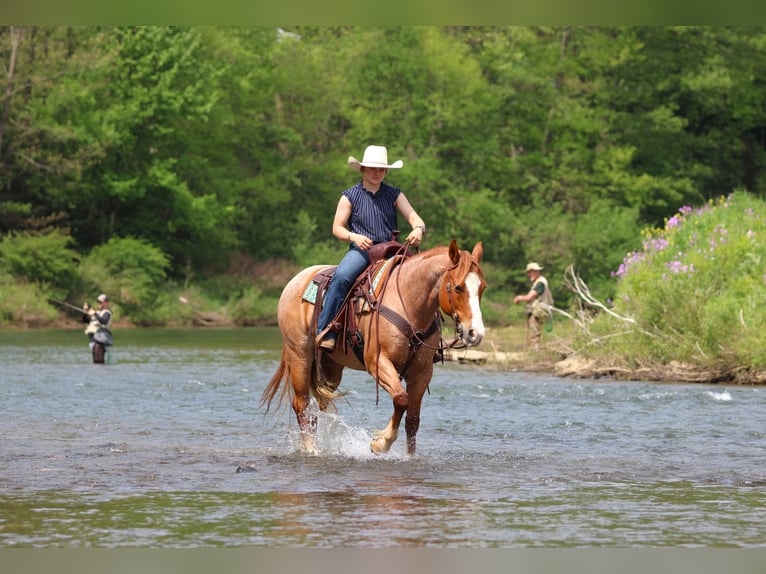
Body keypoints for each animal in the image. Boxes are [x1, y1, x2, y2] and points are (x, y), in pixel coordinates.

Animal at [260, 239, 486, 455]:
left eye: (482, 287)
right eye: (458, 287)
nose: (475, 332)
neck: (408, 303)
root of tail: (295, 281)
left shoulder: (422, 373)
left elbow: (412, 420)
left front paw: (409, 456)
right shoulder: (378, 362)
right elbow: (401, 399)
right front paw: (380, 443)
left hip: (330, 367)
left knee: (321, 404)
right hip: (300, 356)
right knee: (301, 403)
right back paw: (311, 449)